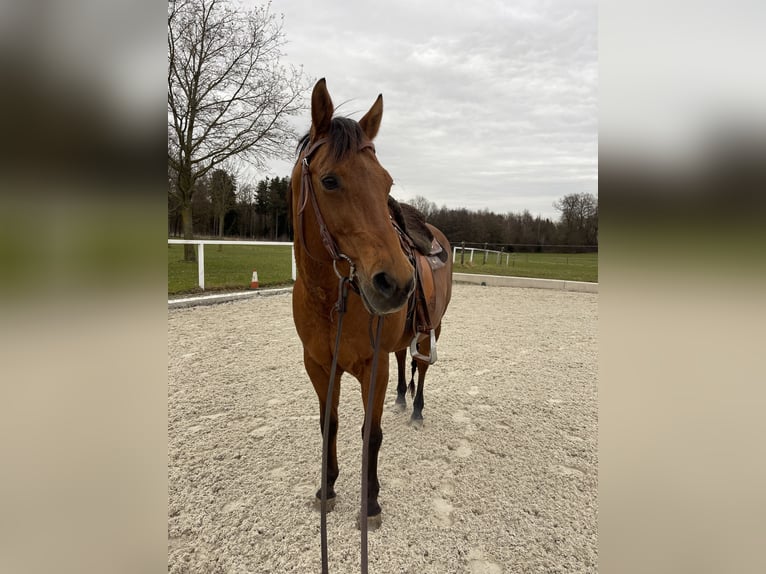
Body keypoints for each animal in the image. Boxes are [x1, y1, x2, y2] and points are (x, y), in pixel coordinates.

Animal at [289, 79, 452, 546]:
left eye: (386, 182)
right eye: (329, 180)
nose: (397, 283)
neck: (331, 299)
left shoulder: (371, 367)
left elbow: (370, 433)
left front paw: (371, 502)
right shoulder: (318, 366)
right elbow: (329, 425)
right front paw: (326, 488)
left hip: (433, 328)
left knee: (420, 367)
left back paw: (415, 409)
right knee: (402, 362)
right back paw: (400, 398)